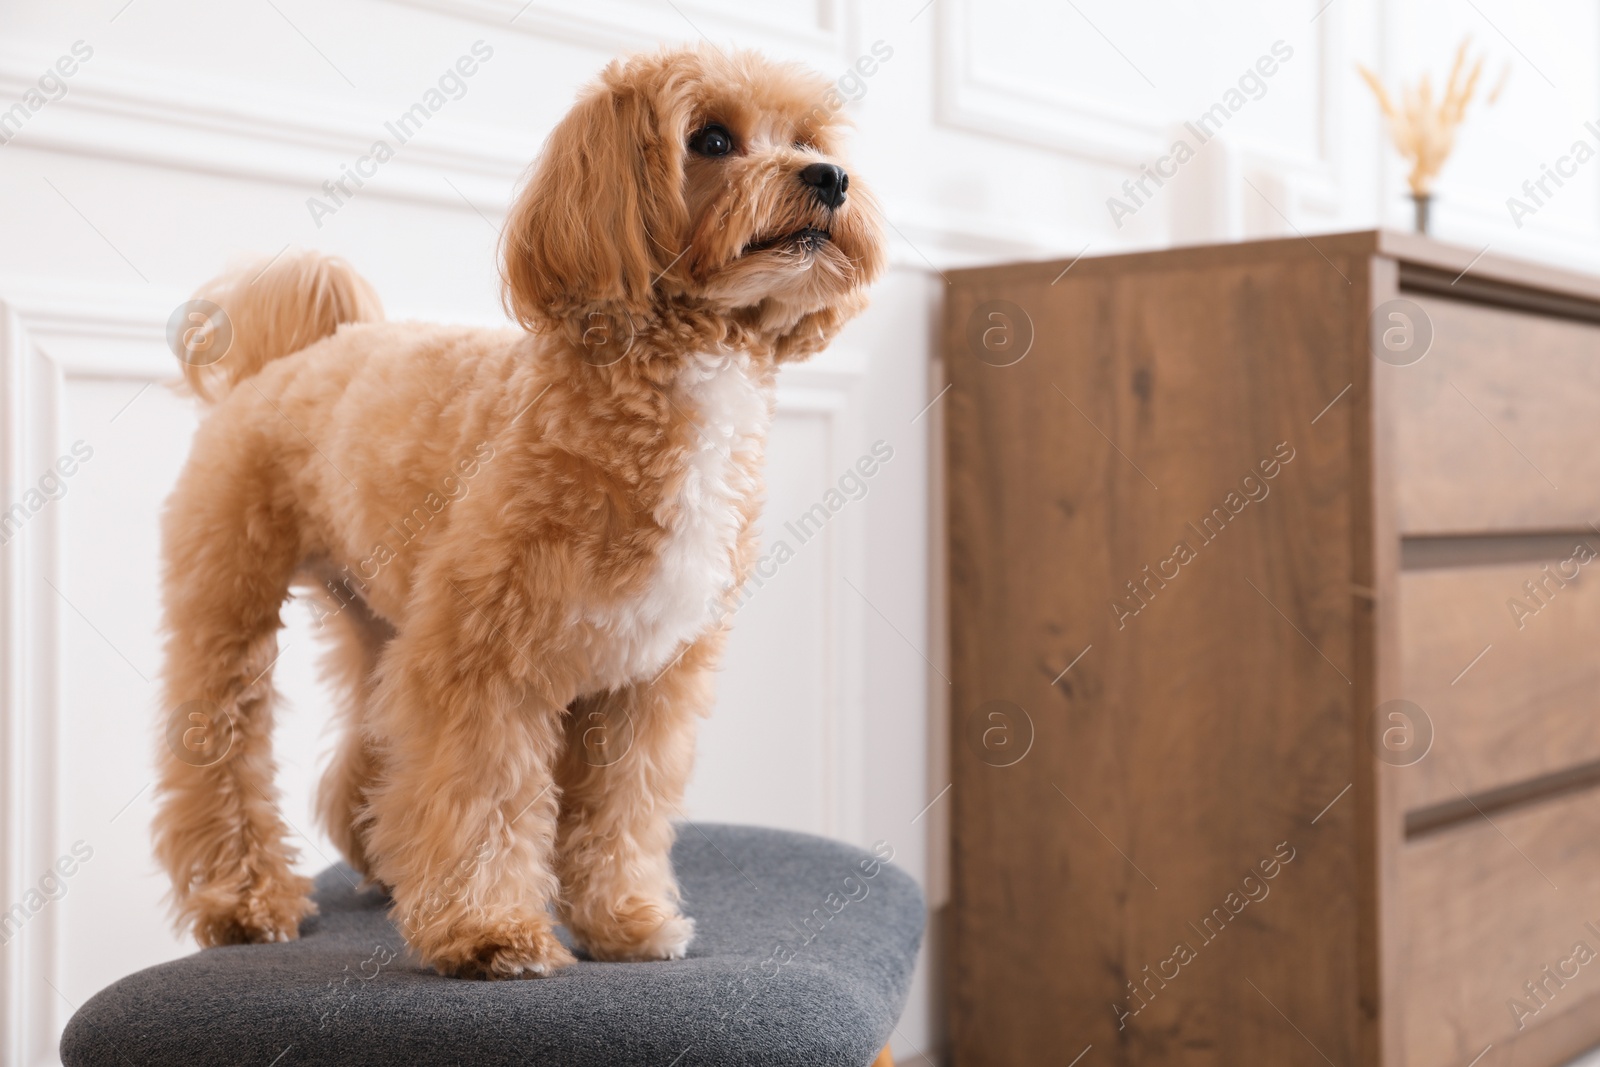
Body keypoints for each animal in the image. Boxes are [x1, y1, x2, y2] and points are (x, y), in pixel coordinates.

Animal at [151, 43, 889, 979]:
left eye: (808, 140)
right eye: (712, 139)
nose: (831, 177)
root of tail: (298, 353)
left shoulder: (645, 682)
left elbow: (621, 809)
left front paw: (624, 918)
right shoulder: (485, 662)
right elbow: (484, 793)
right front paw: (487, 930)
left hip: (384, 619)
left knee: (374, 744)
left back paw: (382, 859)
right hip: (232, 600)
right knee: (219, 749)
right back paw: (244, 901)